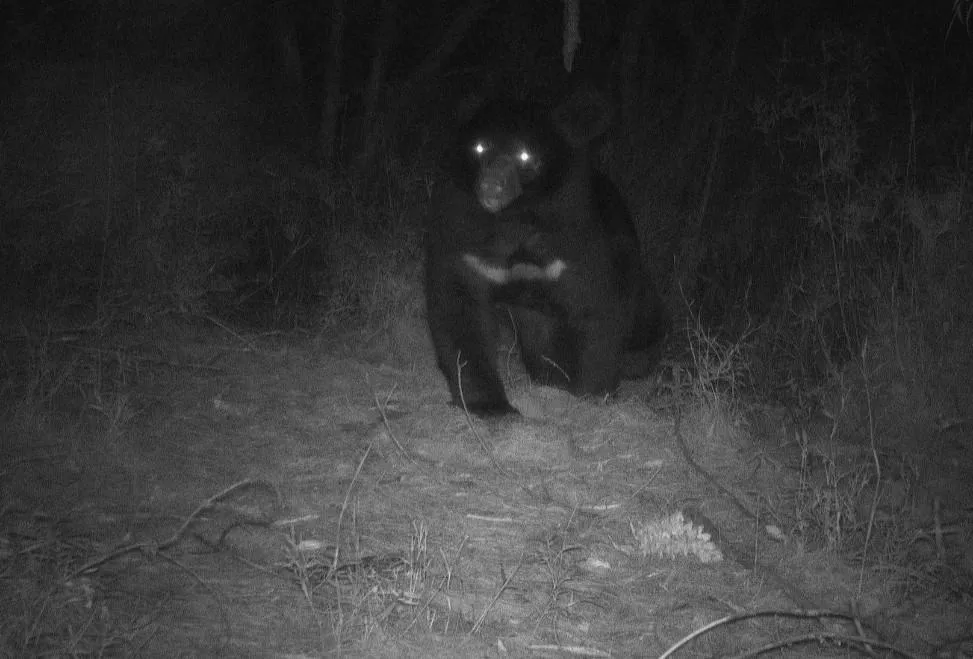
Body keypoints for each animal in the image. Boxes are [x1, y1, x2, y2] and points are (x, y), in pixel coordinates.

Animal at [424, 88, 667, 417]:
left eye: (525, 155)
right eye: (479, 147)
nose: (491, 186)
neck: (514, 219)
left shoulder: (575, 245)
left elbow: (597, 310)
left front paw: (589, 396)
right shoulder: (466, 243)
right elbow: (459, 309)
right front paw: (489, 406)